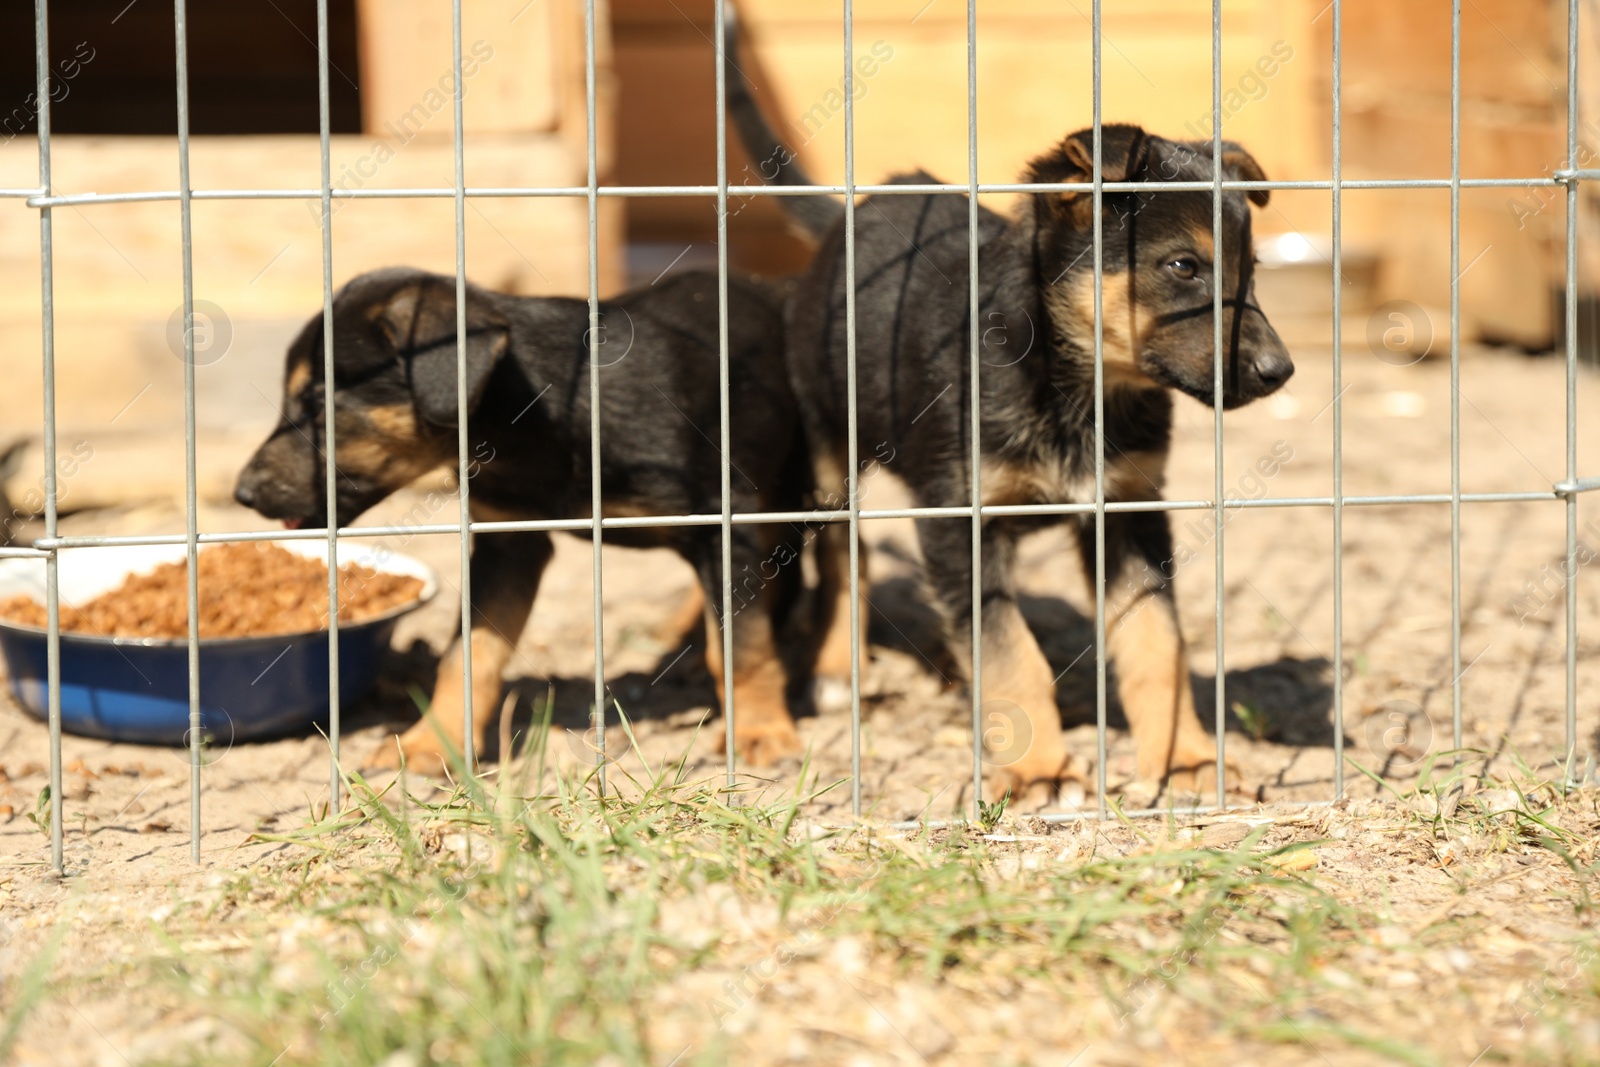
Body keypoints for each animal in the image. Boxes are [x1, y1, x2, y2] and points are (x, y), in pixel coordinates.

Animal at [233, 268, 812, 777]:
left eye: (316, 404)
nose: (243, 492)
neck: (543, 420)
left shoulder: (723, 523)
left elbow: (743, 646)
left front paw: (761, 731)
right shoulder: (507, 544)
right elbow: (465, 656)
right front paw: (431, 744)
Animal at [732, 24, 1292, 799]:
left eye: (1252, 271)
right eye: (1184, 266)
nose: (1280, 371)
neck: (1078, 386)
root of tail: (856, 213)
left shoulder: (1128, 509)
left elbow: (1157, 640)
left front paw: (1185, 757)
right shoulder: (958, 518)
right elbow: (1008, 651)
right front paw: (1038, 770)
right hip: (827, 450)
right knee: (849, 557)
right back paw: (840, 670)